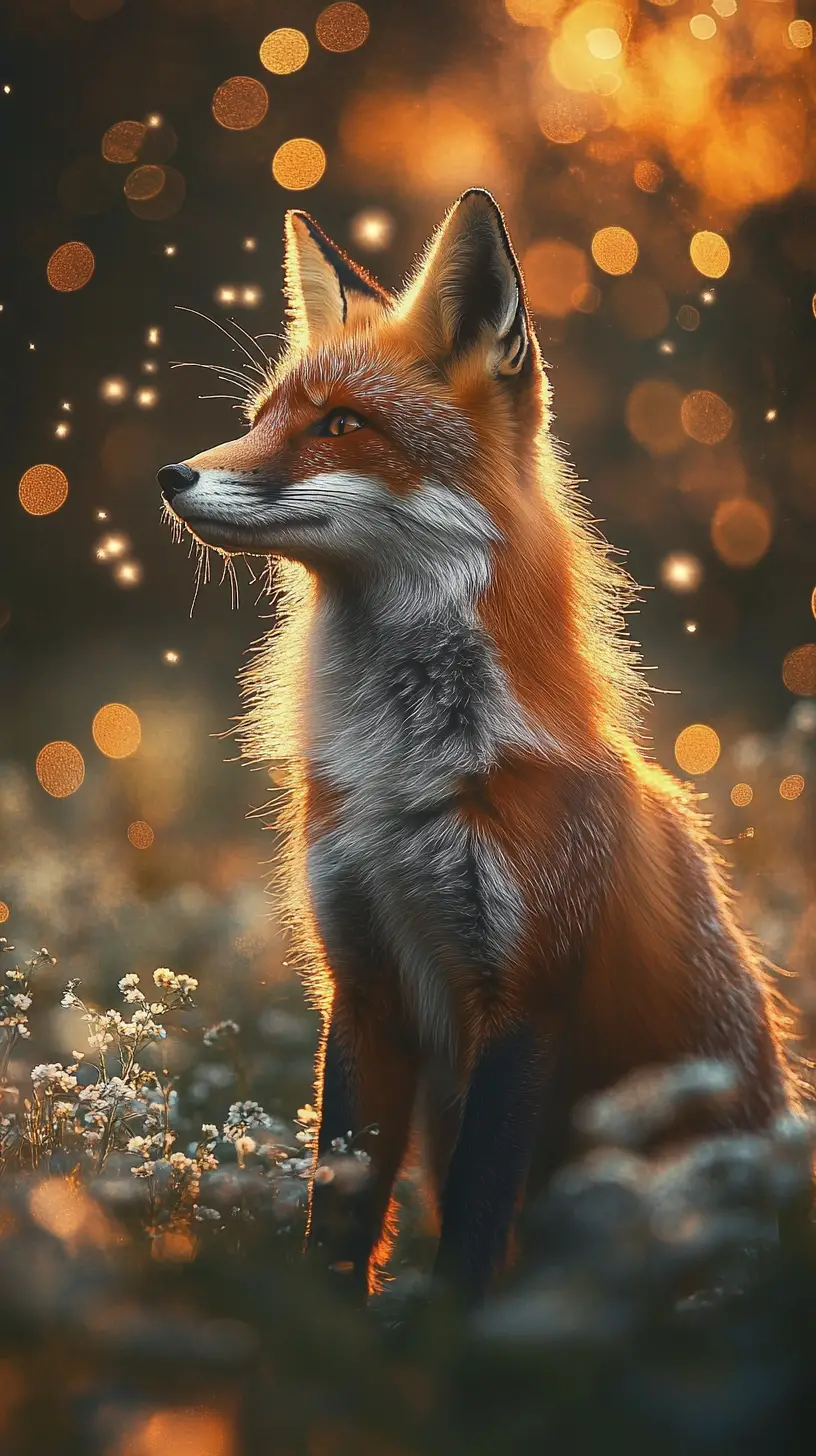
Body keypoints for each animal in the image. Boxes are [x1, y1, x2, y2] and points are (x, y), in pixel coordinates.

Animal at [158, 188, 801, 1305]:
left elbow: (470, 1224)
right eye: (259, 419)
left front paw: (457, 1345)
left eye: (341, 425)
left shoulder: (527, 993)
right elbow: (340, 1210)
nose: (172, 475)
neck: (406, 773)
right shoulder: (363, 986)